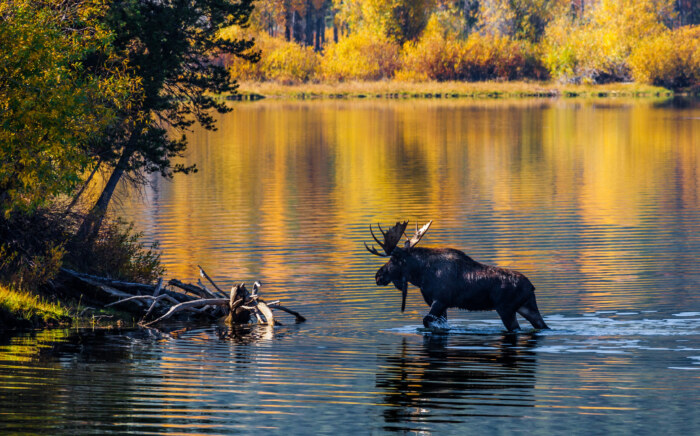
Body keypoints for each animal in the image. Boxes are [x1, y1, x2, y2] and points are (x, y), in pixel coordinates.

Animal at [364, 220, 548, 332]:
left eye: (393, 260)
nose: (378, 276)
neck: (420, 276)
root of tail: (532, 287)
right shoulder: (440, 304)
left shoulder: (440, 300)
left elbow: (426, 321)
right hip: (527, 307)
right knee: (542, 325)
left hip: (506, 309)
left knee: (516, 328)